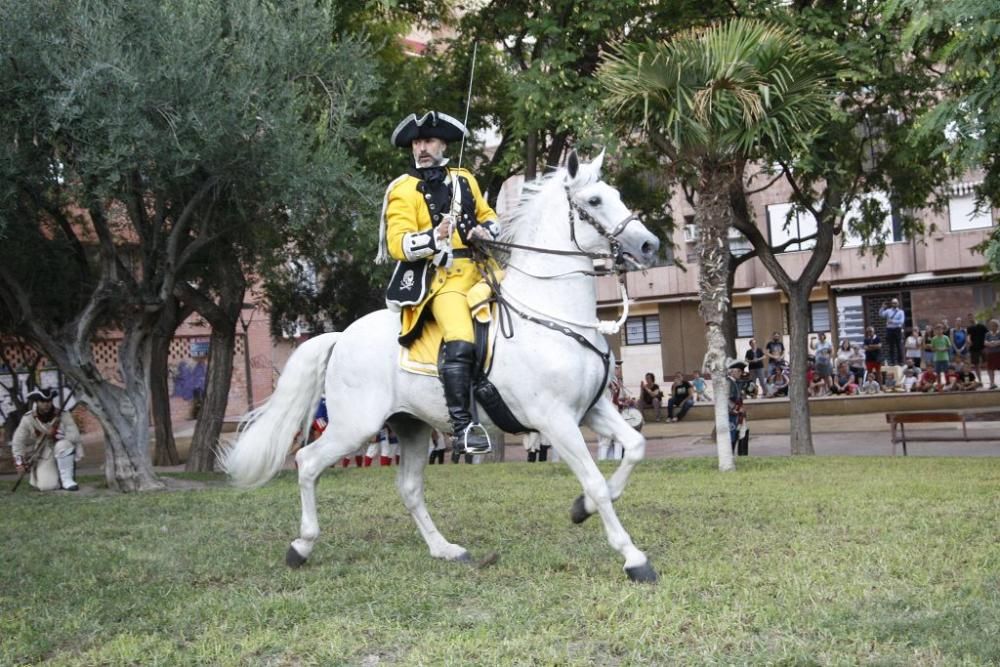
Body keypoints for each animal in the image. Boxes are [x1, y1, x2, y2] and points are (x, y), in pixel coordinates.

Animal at [226, 153, 664, 584]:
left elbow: (635, 448)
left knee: (408, 488)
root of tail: (341, 337)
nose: (649, 245)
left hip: (411, 426)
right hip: (355, 427)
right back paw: (301, 546)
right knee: (307, 462)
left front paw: (581, 508)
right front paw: (633, 557)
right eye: (594, 201)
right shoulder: (555, 420)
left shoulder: (593, 409)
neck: (552, 315)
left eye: (616, 194)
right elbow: (596, 481)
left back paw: (445, 549)